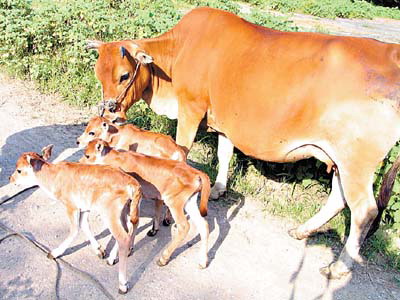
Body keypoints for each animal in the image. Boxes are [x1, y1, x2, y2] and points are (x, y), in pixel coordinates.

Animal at [8, 144, 143, 294]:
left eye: (19, 170)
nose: (10, 179)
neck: (53, 179)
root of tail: (134, 185)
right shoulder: (84, 206)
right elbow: (84, 225)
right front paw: (99, 250)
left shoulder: (71, 205)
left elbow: (74, 230)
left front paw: (54, 253)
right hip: (125, 209)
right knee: (130, 227)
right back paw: (112, 258)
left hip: (110, 211)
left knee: (122, 237)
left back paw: (122, 285)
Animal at [80, 139, 211, 268]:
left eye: (87, 155)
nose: (80, 163)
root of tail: (196, 173)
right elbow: (134, 223)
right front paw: (129, 249)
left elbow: (127, 226)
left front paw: (113, 257)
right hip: (189, 202)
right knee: (203, 225)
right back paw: (202, 261)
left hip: (174, 203)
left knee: (184, 227)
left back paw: (163, 258)